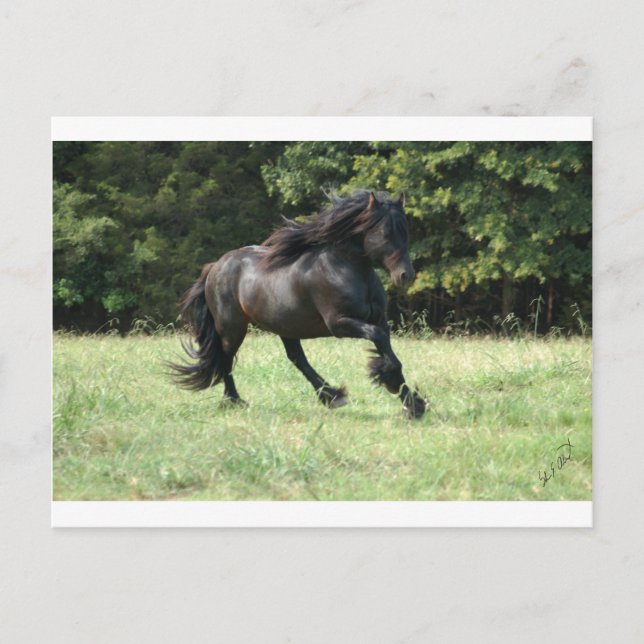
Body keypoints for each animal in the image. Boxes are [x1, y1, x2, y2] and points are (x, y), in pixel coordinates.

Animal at [169, 190, 426, 418]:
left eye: (405, 230)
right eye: (385, 232)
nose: (406, 275)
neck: (345, 268)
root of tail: (215, 266)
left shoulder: (379, 320)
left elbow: (388, 351)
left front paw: (412, 404)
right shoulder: (339, 323)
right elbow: (381, 343)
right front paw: (396, 387)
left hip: (285, 326)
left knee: (296, 358)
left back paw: (332, 396)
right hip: (232, 329)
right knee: (226, 359)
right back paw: (234, 400)